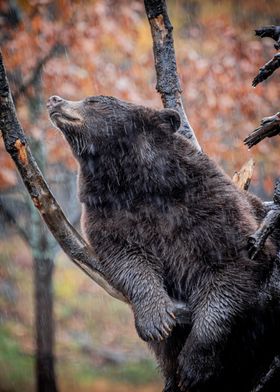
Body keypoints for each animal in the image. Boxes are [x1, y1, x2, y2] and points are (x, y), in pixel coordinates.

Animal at [47, 95, 280, 392]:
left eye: (94, 100)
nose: (55, 99)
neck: (135, 182)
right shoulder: (109, 214)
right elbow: (129, 260)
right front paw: (156, 322)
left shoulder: (210, 208)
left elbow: (233, 266)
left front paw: (192, 365)